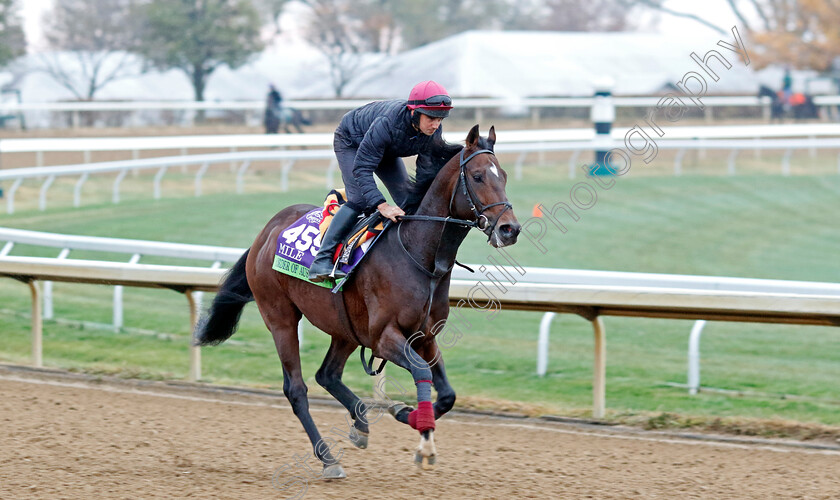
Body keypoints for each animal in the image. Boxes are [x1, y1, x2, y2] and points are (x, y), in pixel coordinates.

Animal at [195, 124, 520, 476]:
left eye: (503, 175)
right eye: (477, 176)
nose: (510, 229)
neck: (419, 255)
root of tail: (266, 233)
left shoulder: (425, 336)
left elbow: (447, 394)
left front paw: (409, 417)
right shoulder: (384, 338)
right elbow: (421, 372)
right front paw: (420, 434)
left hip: (345, 327)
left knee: (327, 374)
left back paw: (361, 423)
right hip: (280, 318)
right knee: (296, 389)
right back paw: (328, 459)